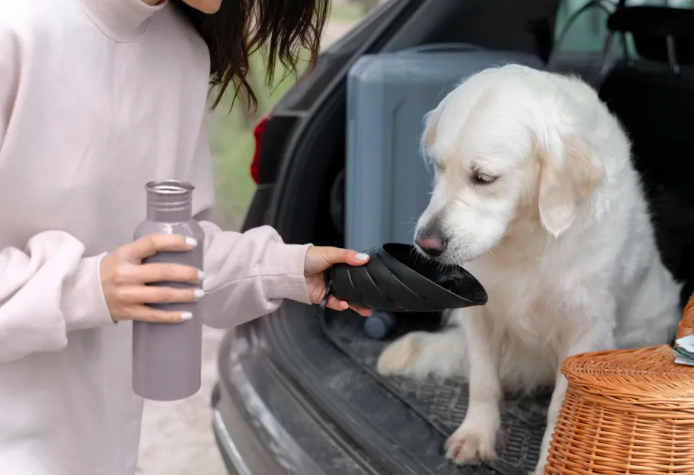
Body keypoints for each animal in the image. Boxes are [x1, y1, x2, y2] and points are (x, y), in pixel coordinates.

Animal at [378, 64, 684, 475]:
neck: (526, 234)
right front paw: (476, 436)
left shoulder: (585, 329)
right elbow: (483, 381)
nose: (426, 244)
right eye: (440, 166)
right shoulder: (481, 313)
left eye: (484, 178)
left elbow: (562, 407)